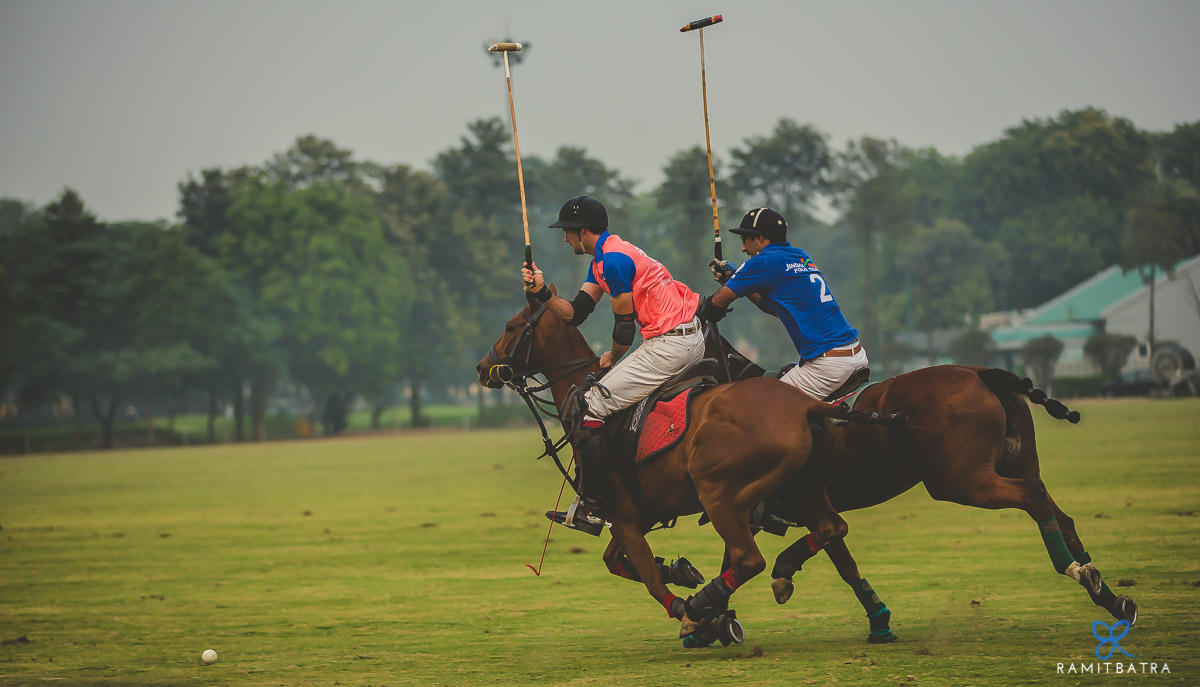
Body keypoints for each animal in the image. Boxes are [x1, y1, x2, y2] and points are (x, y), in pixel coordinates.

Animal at [475, 287, 892, 643]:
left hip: (719, 494)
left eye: (510, 326)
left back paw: (708, 609)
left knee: (748, 558)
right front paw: (682, 572)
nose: (482, 367)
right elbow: (618, 562)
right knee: (832, 530)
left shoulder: (623, 517)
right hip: (804, 488)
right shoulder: (640, 513)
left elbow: (647, 577)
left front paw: (694, 614)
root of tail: (806, 405)